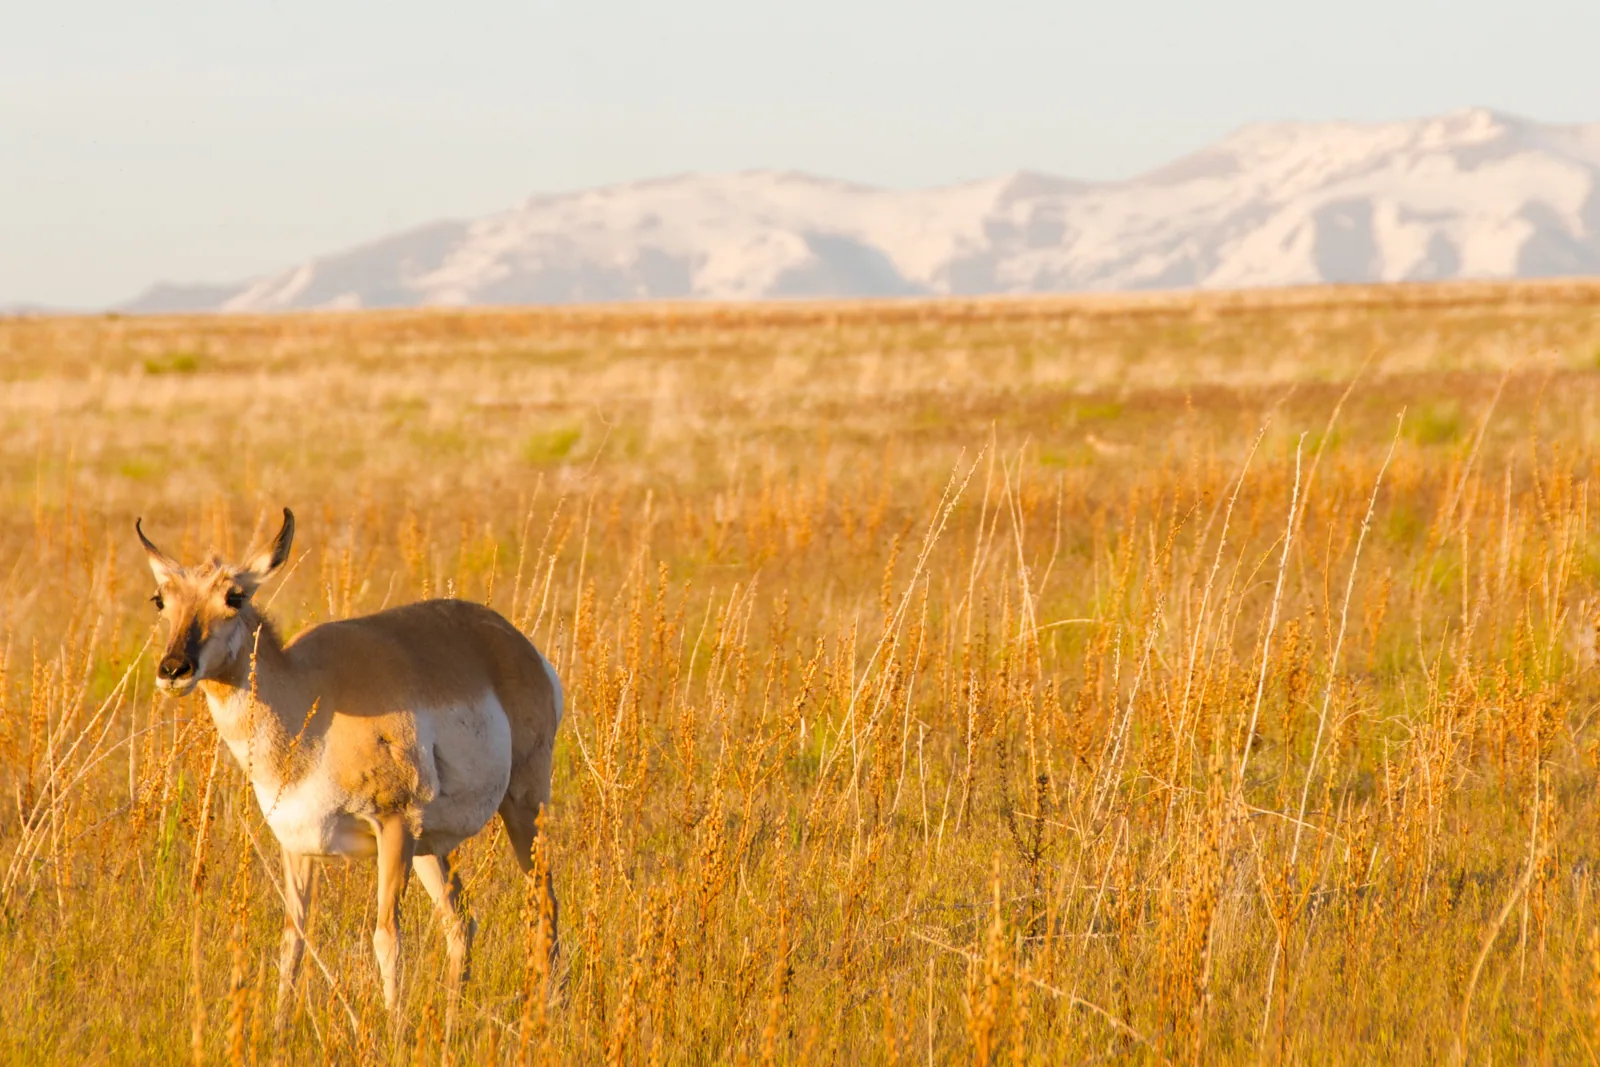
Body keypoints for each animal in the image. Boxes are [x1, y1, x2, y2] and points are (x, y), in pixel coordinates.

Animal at [136, 508, 562, 1026]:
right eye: (161, 599)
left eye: (233, 596)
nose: (173, 669)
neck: (312, 702)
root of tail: (515, 643)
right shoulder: (296, 845)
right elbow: (292, 942)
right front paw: (277, 1030)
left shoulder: (392, 825)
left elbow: (386, 937)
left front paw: (393, 1030)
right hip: (429, 847)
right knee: (461, 922)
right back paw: (450, 1022)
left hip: (521, 808)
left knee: (545, 904)